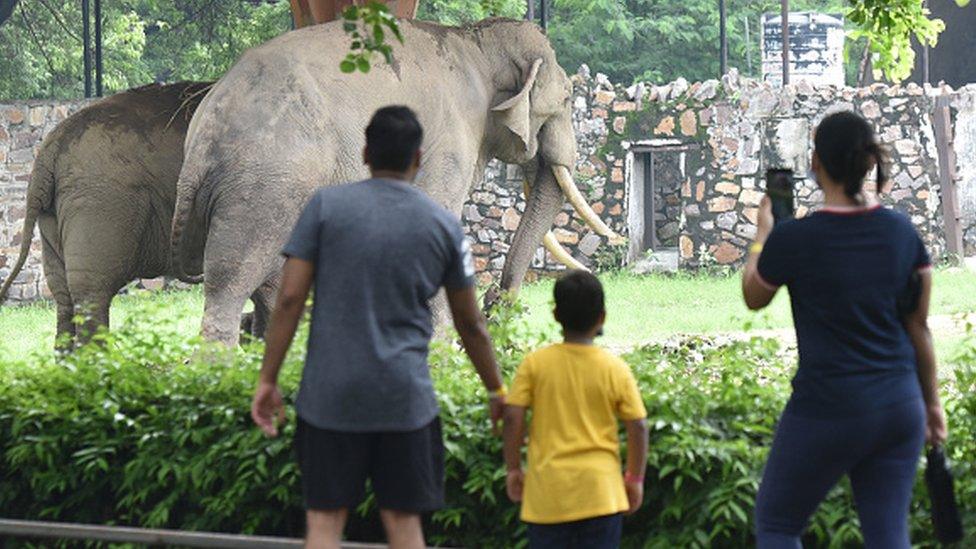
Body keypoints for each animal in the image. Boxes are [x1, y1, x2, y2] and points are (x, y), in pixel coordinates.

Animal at [172, 17, 620, 344]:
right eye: (567, 100)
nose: (496, 302)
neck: (476, 41)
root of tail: (202, 132)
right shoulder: (448, 143)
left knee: (273, 286)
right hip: (263, 187)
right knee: (232, 282)